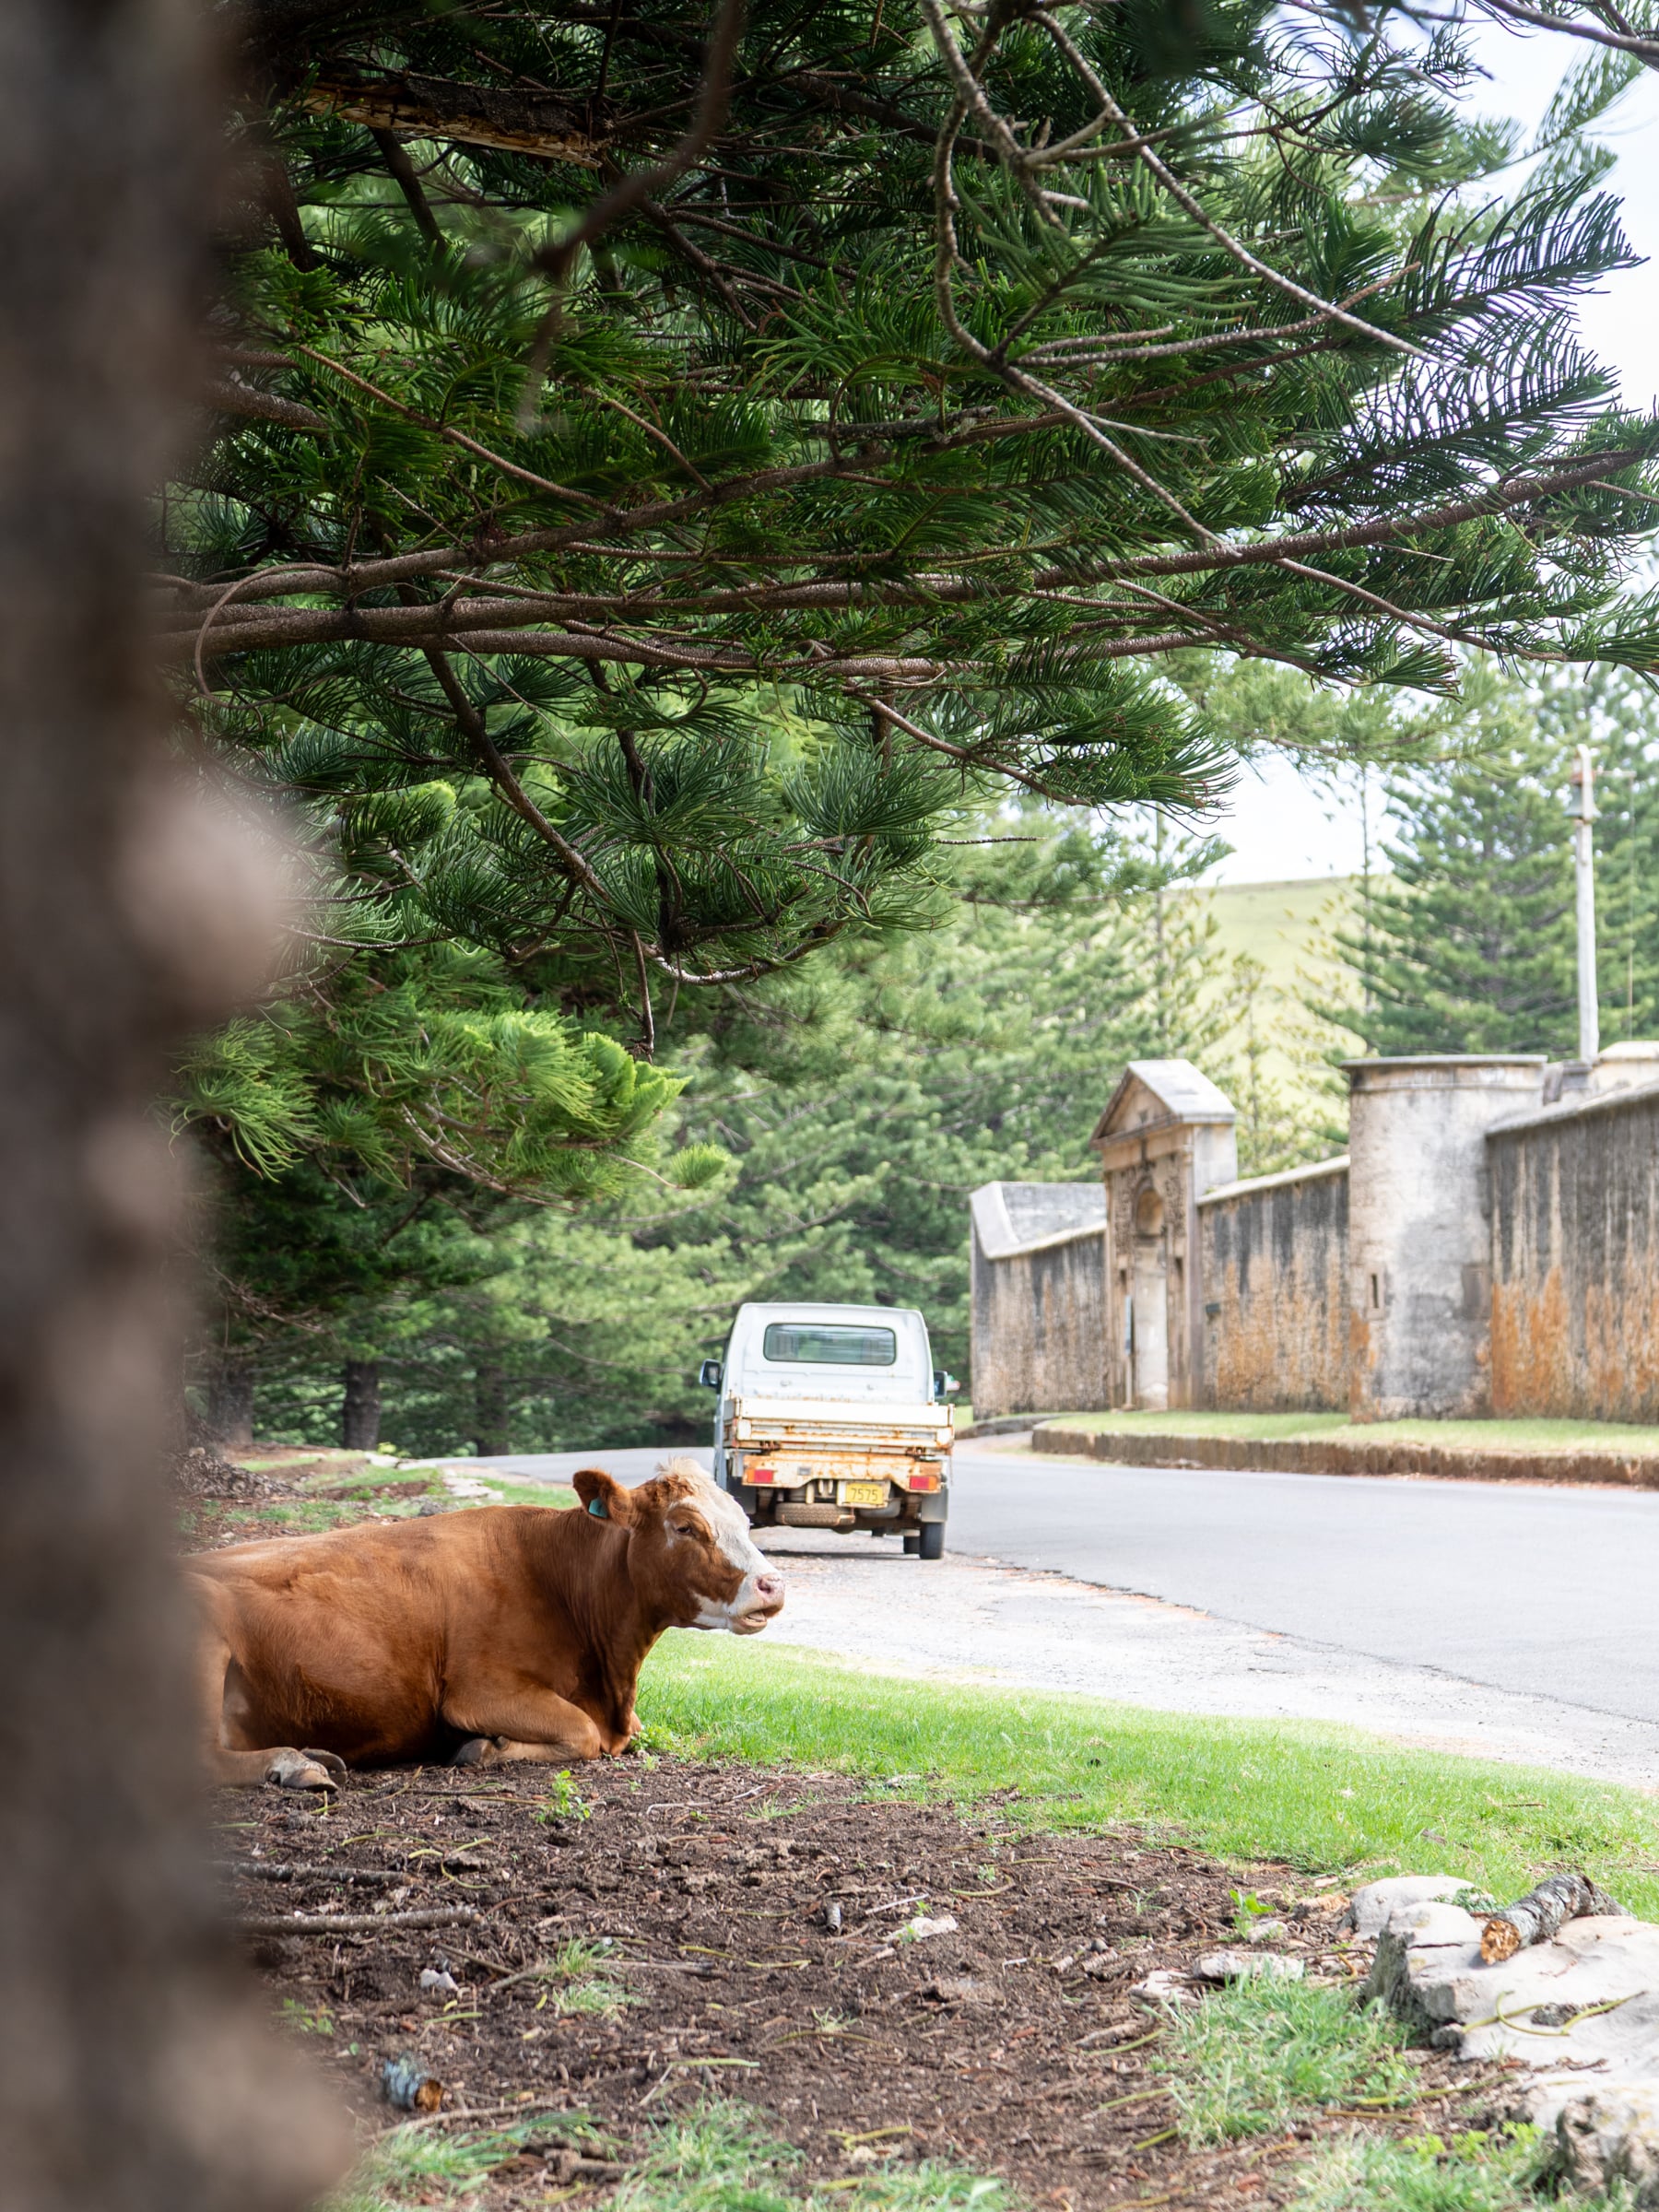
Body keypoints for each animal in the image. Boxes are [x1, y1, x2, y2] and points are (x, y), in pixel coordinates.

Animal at [187, 1458, 784, 1790]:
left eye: (744, 1519)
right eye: (684, 1526)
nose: (773, 1584)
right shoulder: (478, 1692)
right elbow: (583, 1733)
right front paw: (487, 1748)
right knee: (198, 1759)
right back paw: (294, 1763)